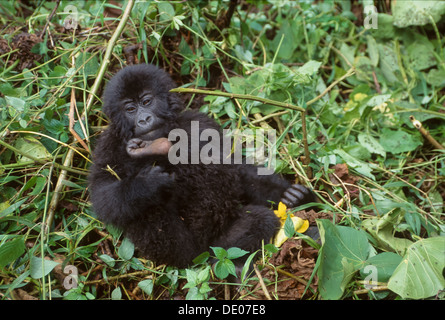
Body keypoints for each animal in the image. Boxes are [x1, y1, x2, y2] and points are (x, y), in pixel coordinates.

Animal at [88, 63, 314, 268]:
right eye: (130, 109)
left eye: (146, 101)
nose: (143, 119)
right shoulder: (108, 145)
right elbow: (104, 196)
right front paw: (147, 183)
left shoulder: (199, 121)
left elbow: (232, 166)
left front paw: (292, 196)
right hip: (184, 253)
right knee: (149, 210)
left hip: (219, 243)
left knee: (257, 221)